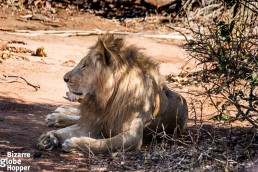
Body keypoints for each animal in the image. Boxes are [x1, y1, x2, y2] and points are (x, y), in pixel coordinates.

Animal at [37, 34, 188, 154]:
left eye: (84, 65)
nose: (64, 78)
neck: (107, 100)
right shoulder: (95, 121)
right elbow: (72, 128)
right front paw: (50, 137)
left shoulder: (133, 137)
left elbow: (106, 143)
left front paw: (74, 143)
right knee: (78, 117)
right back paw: (57, 115)